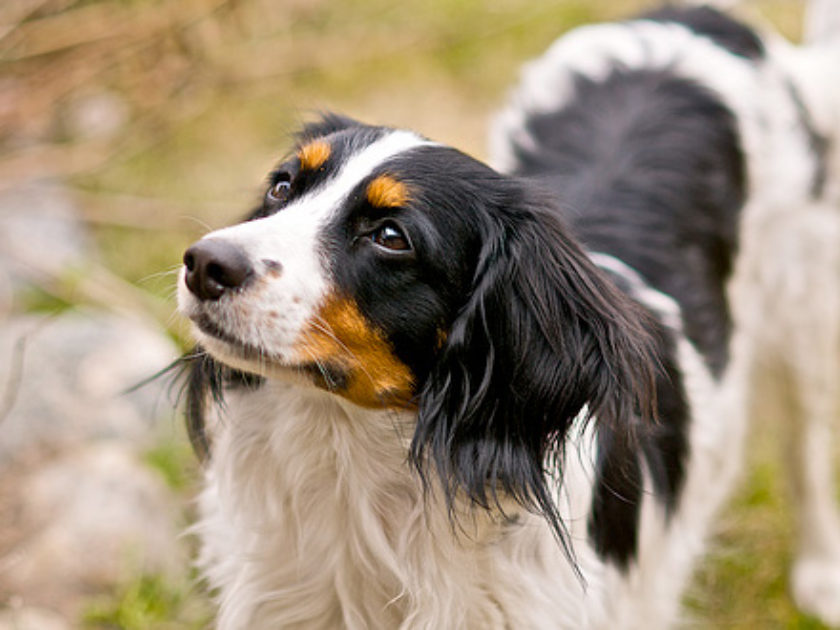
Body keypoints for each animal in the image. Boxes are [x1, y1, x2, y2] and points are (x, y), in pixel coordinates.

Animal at [176, 2, 840, 628]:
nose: (204, 263)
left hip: (804, 314)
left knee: (806, 444)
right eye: (282, 187)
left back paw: (818, 577)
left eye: (391, 236)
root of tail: (700, 18)